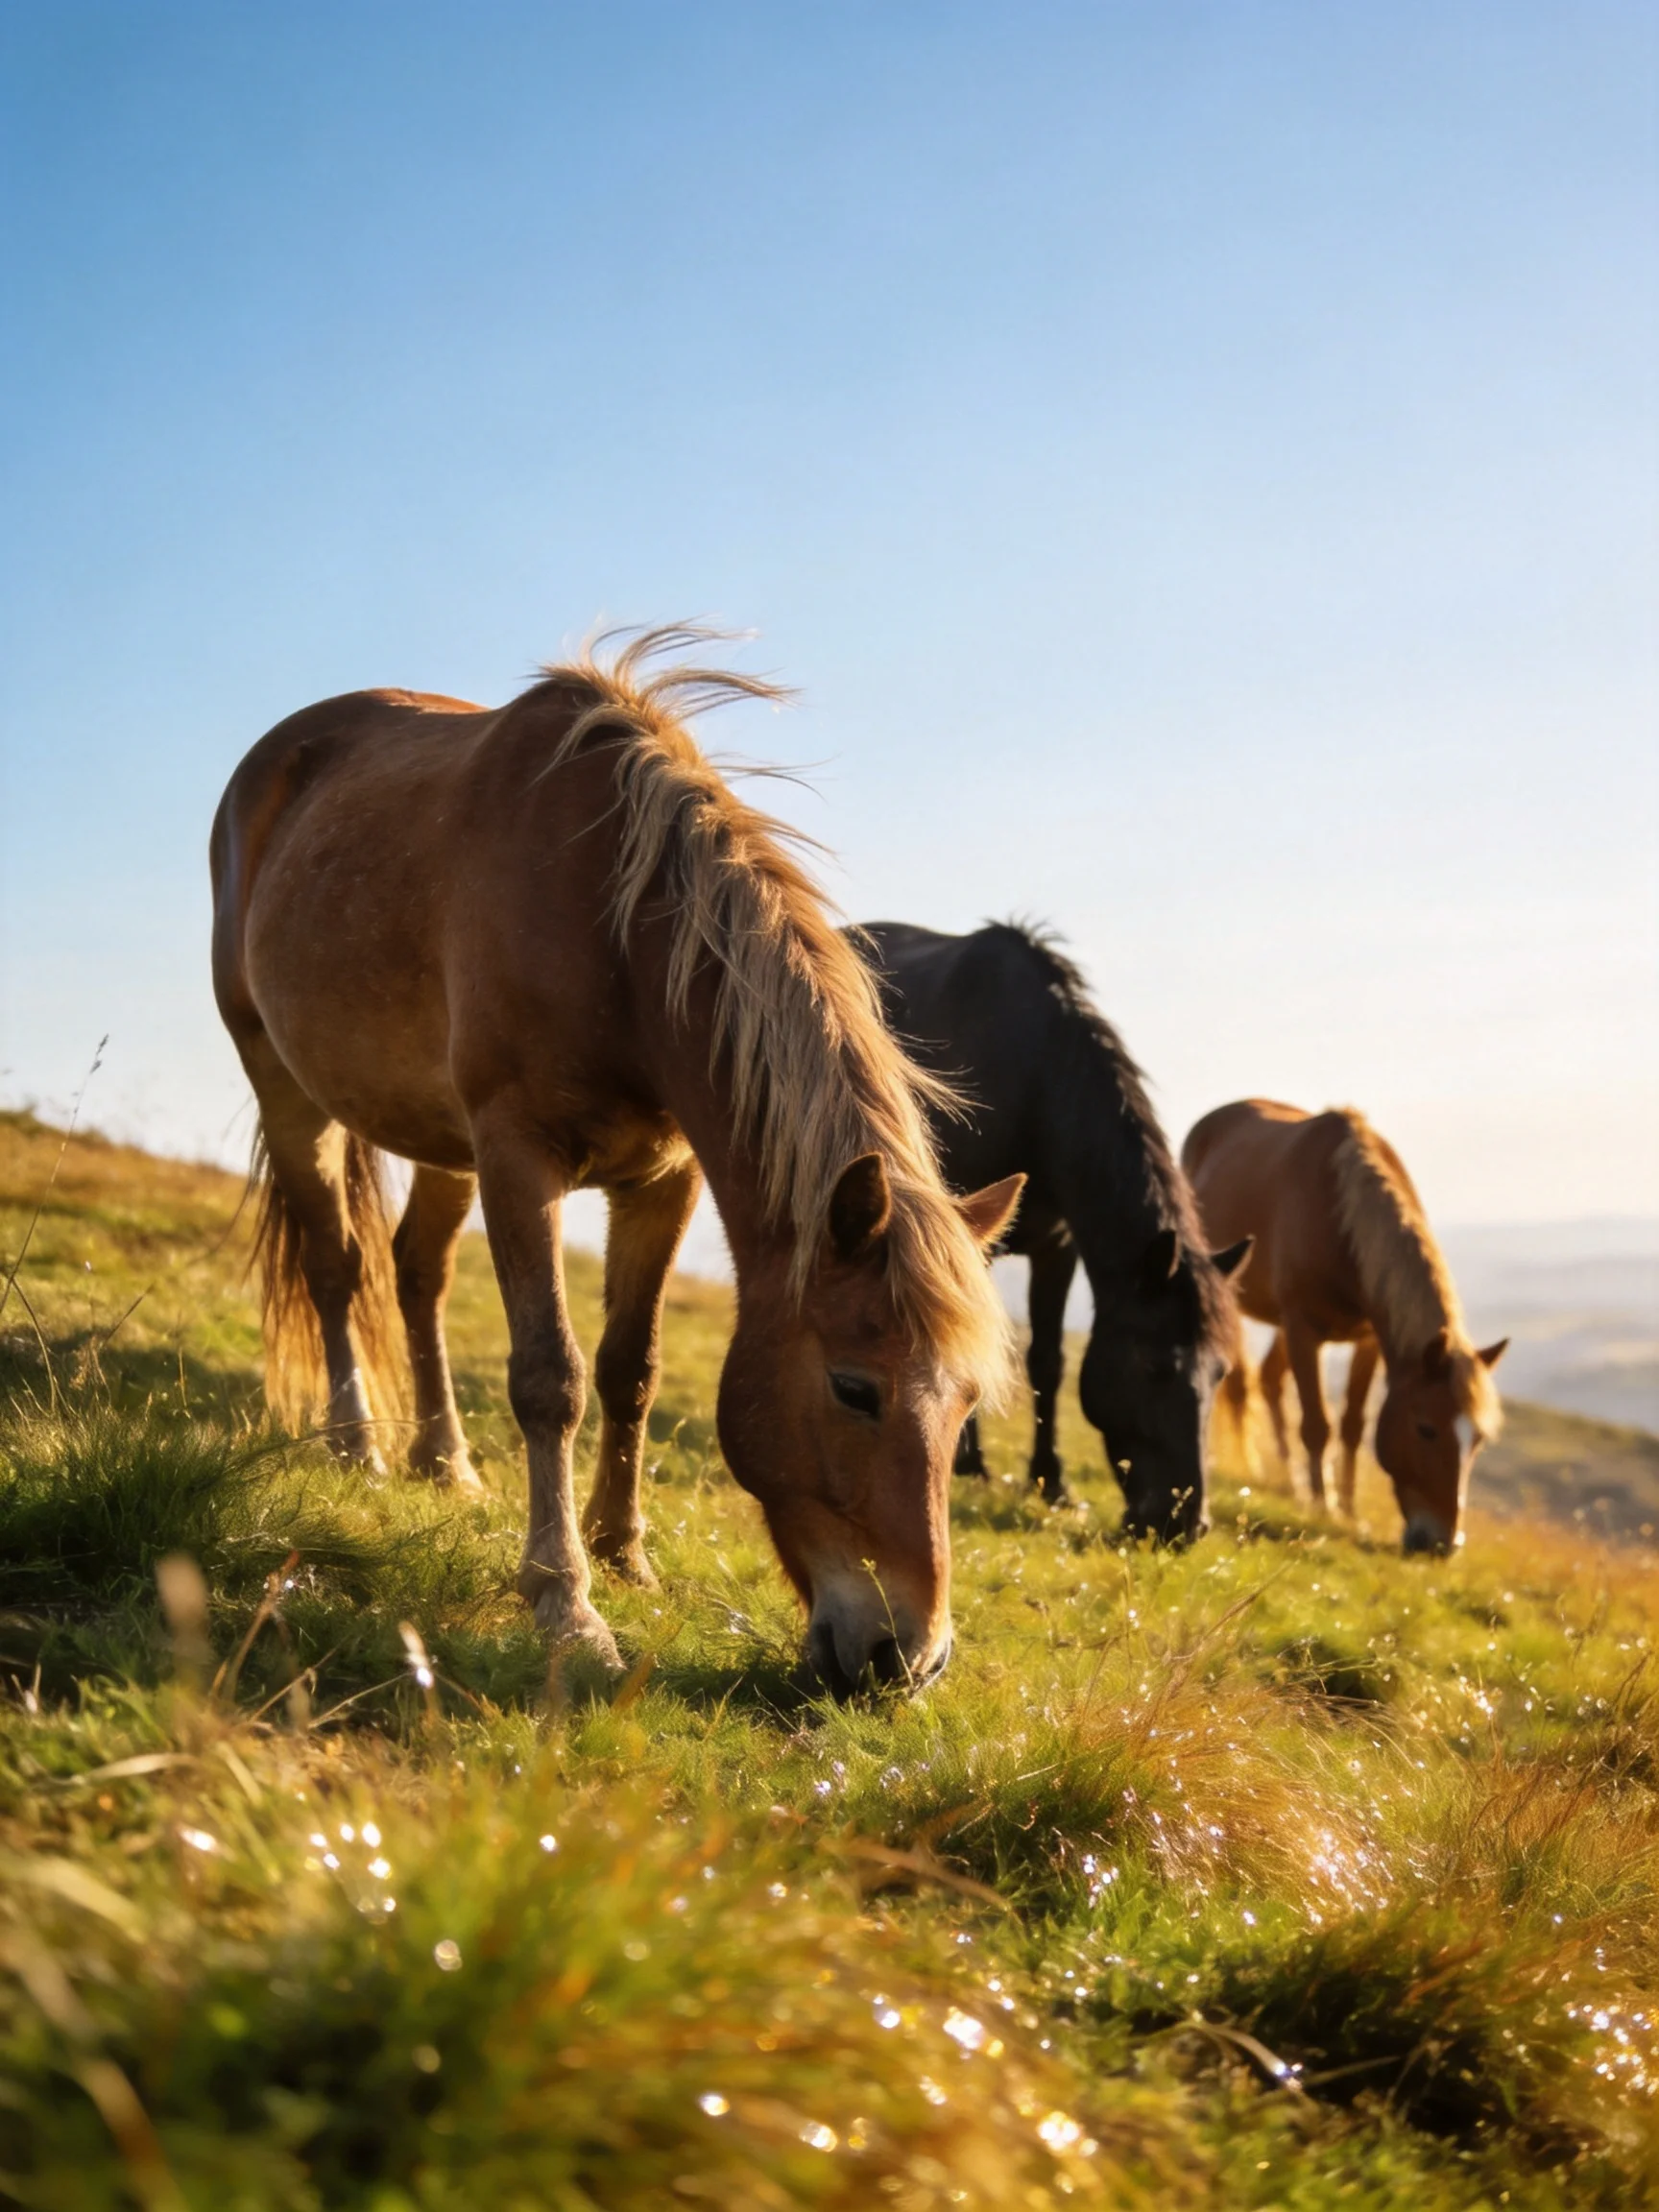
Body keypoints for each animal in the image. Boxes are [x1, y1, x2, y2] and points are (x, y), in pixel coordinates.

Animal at [210, 630, 1022, 1693]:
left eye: (966, 1402)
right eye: (855, 1387)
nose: (909, 1658)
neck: (616, 931)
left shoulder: (663, 1181)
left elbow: (629, 1369)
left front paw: (621, 1553)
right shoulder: (519, 1158)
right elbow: (549, 1377)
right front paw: (566, 1602)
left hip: (442, 1142)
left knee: (417, 1272)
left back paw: (445, 1461)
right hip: (287, 1083)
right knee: (336, 1265)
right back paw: (358, 1448)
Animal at [854, 922, 1250, 1542]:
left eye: (1220, 1373)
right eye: (1155, 1367)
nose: (1184, 1524)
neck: (1035, 1076)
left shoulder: (1057, 1247)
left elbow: (1048, 1360)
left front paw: (1051, 1482)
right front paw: (969, 1463)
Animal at [1180, 1099, 1508, 1554]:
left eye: (1478, 1439)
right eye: (1425, 1429)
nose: (1444, 1545)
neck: (1340, 1221)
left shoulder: (1368, 1339)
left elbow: (1353, 1425)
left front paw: (1350, 1509)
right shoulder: (1302, 1328)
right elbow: (1318, 1424)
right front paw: (1325, 1507)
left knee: (1269, 1379)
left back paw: (1290, 1482)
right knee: (1244, 1386)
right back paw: (1253, 1467)